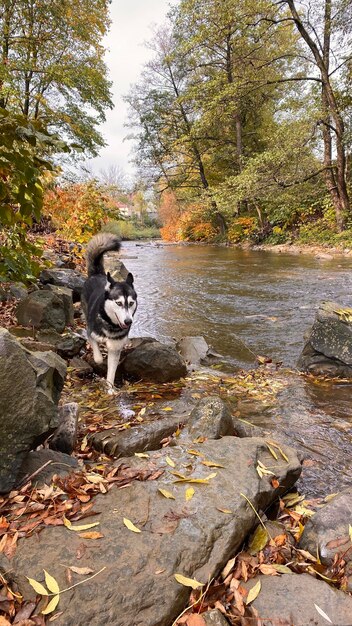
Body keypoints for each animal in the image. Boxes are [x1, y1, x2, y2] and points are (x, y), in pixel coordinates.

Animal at [81, 233, 138, 390]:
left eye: (131, 303)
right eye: (119, 303)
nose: (128, 321)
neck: (110, 324)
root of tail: (97, 274)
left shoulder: (115, 348)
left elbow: (112, 371)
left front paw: (110, 389)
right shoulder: (91, 333)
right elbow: (98, 358)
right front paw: (99, 359)